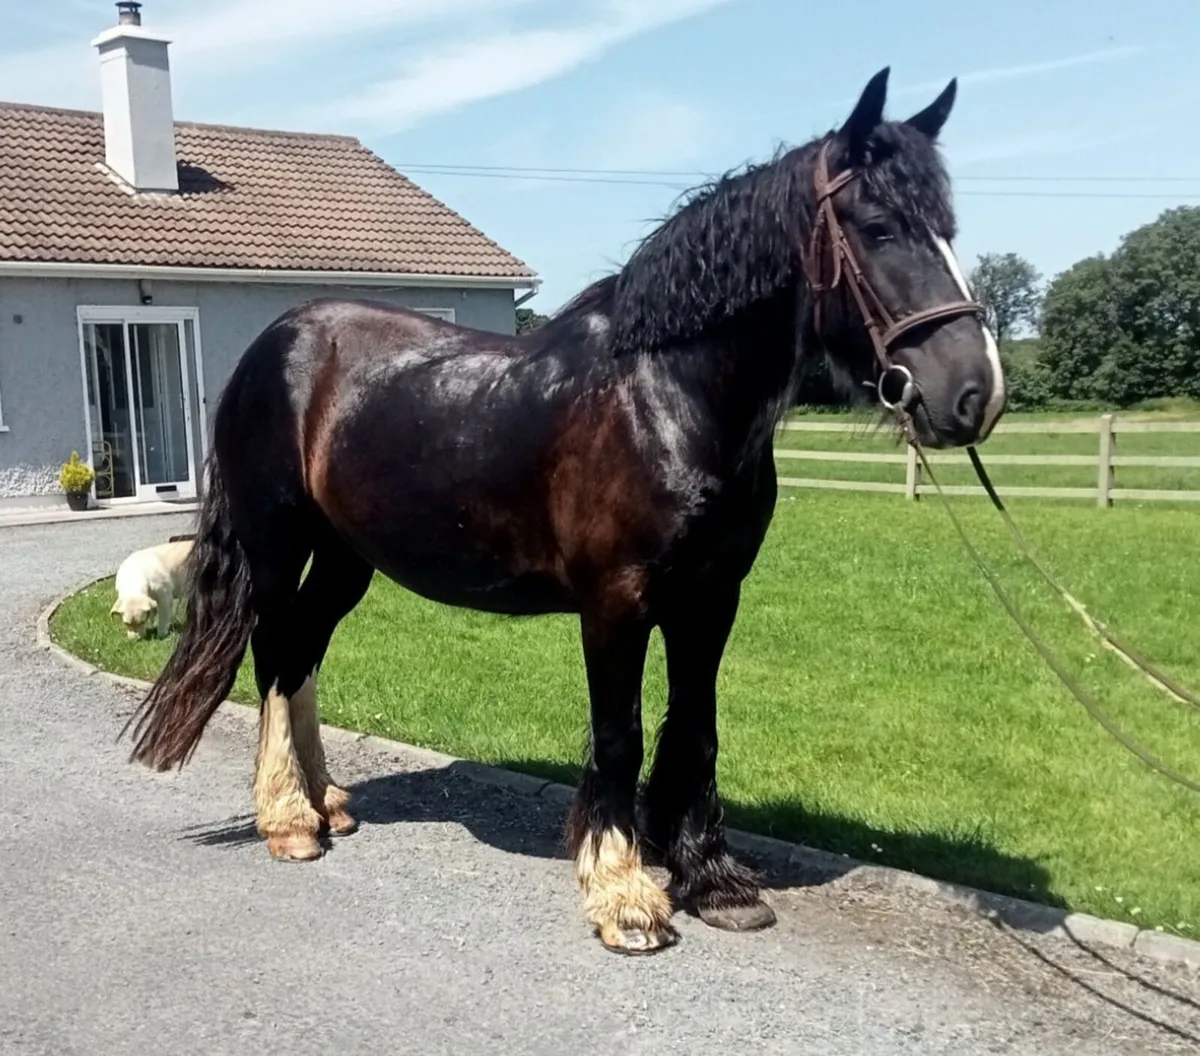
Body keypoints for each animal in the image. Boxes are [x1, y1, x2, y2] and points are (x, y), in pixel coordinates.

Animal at [123, 66, 1005, 956]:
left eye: (948, 228)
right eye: (879, 226)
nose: (975, 392)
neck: (666, 397)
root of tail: (274, 343)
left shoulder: (712, 599)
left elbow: (696, 726)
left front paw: (712, 880)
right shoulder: (616, 601)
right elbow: (619, 734)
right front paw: (624, 894)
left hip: (347, 558)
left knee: (303, 650)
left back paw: (327, 799)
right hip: (277, 545)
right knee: (274, 652)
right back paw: (289, 819)